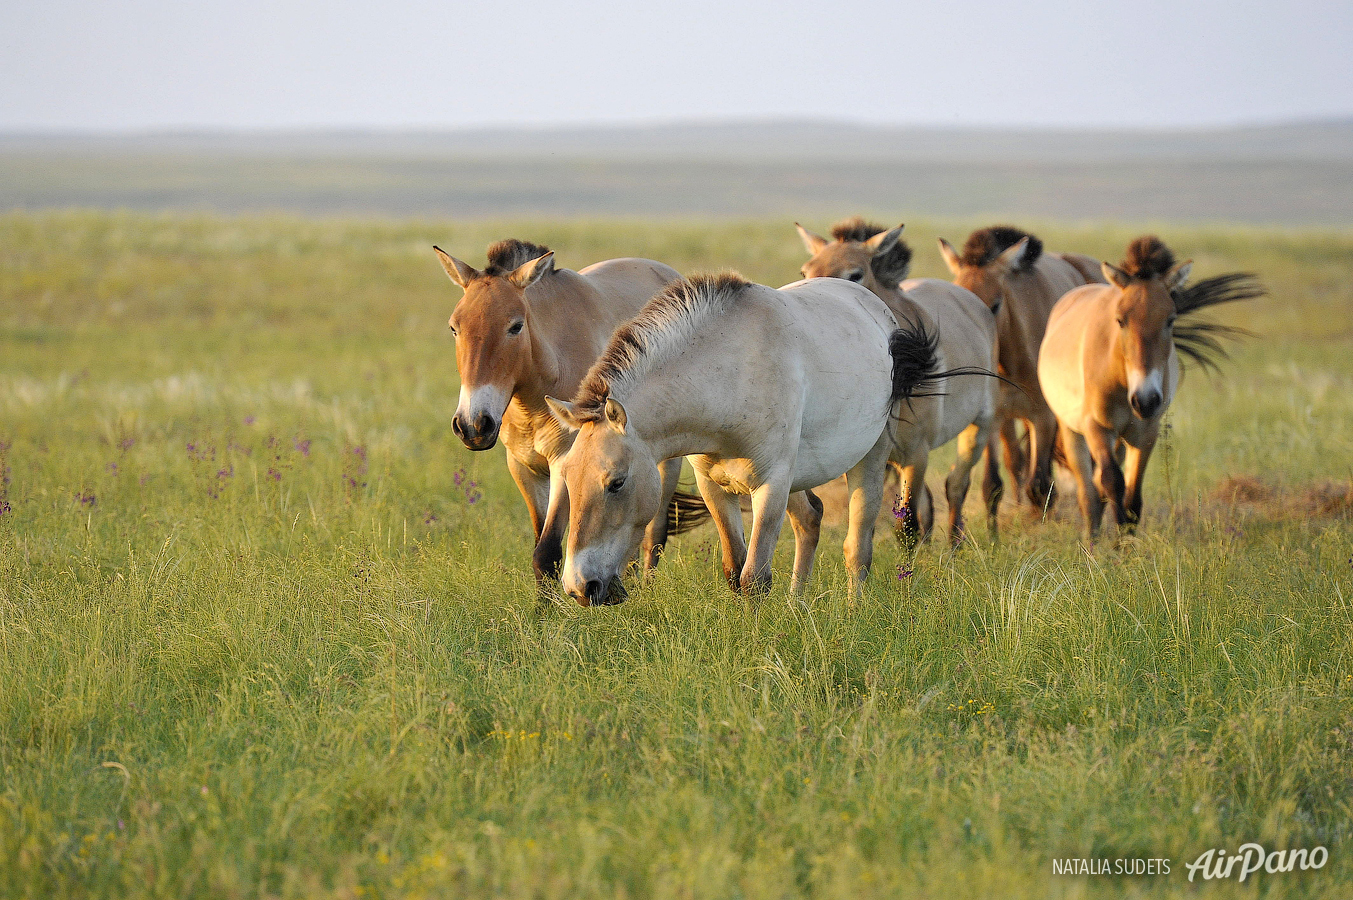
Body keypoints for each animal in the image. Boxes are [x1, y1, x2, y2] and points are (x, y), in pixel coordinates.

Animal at [435, 238, 708, 579]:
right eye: (453, 328)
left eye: (515, 326)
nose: (473, 426)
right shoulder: (523, 469)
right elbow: (540, 546)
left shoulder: (565, 465)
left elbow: (547, 552)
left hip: (665, 466)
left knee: (653, 536)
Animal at [543, 270, 936, 600]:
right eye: (567, 478)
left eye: (617, 483)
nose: (579, 587)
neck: (731, 375)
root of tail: (879, 313)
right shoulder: (714, 487)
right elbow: (734, 569)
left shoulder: (771, 485)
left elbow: (754, 578)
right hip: (797, 477)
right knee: (810, 519)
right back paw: (797, 610)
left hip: (868, 461)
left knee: (857, 550)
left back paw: (854, 612)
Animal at [795, 220, 1001, 544]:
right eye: (806, 272)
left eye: (855, 274)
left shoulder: (916, 454)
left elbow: (908, 526)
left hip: (977, 430)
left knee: (956, 485)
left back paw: (954, 548)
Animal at [936, 226, 1104, 511]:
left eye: (995, 304)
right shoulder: (995, 418)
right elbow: (994, 483)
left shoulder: (1044, 417)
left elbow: (1039, 486)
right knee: (1015, 460)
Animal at [1033, 235, 1266, 535]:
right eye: (1120, 320)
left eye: (1170, 319)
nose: (1145, 400)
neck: (1121, 379)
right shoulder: (1097, 429)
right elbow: (1112, 483)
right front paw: (1116, 547)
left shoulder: (1145, 433)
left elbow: (1132, 500)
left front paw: (1127, 543)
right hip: (1072, 431)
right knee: (1088, 495)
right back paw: (1091, 542)